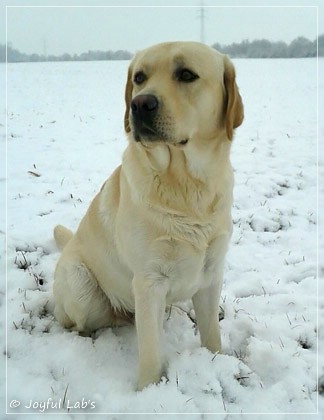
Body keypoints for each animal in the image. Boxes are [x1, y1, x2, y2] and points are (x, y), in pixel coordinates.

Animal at [52, 42, 243, 390]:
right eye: (139, 78)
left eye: (186, 74)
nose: (140, 104)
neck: (185, 185)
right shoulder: (149, 281)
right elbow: (151, 350)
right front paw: (148, 389)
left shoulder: (211, 274)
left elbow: (212, 334)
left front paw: (217, 361)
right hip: (81, 286)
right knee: (77, 320)